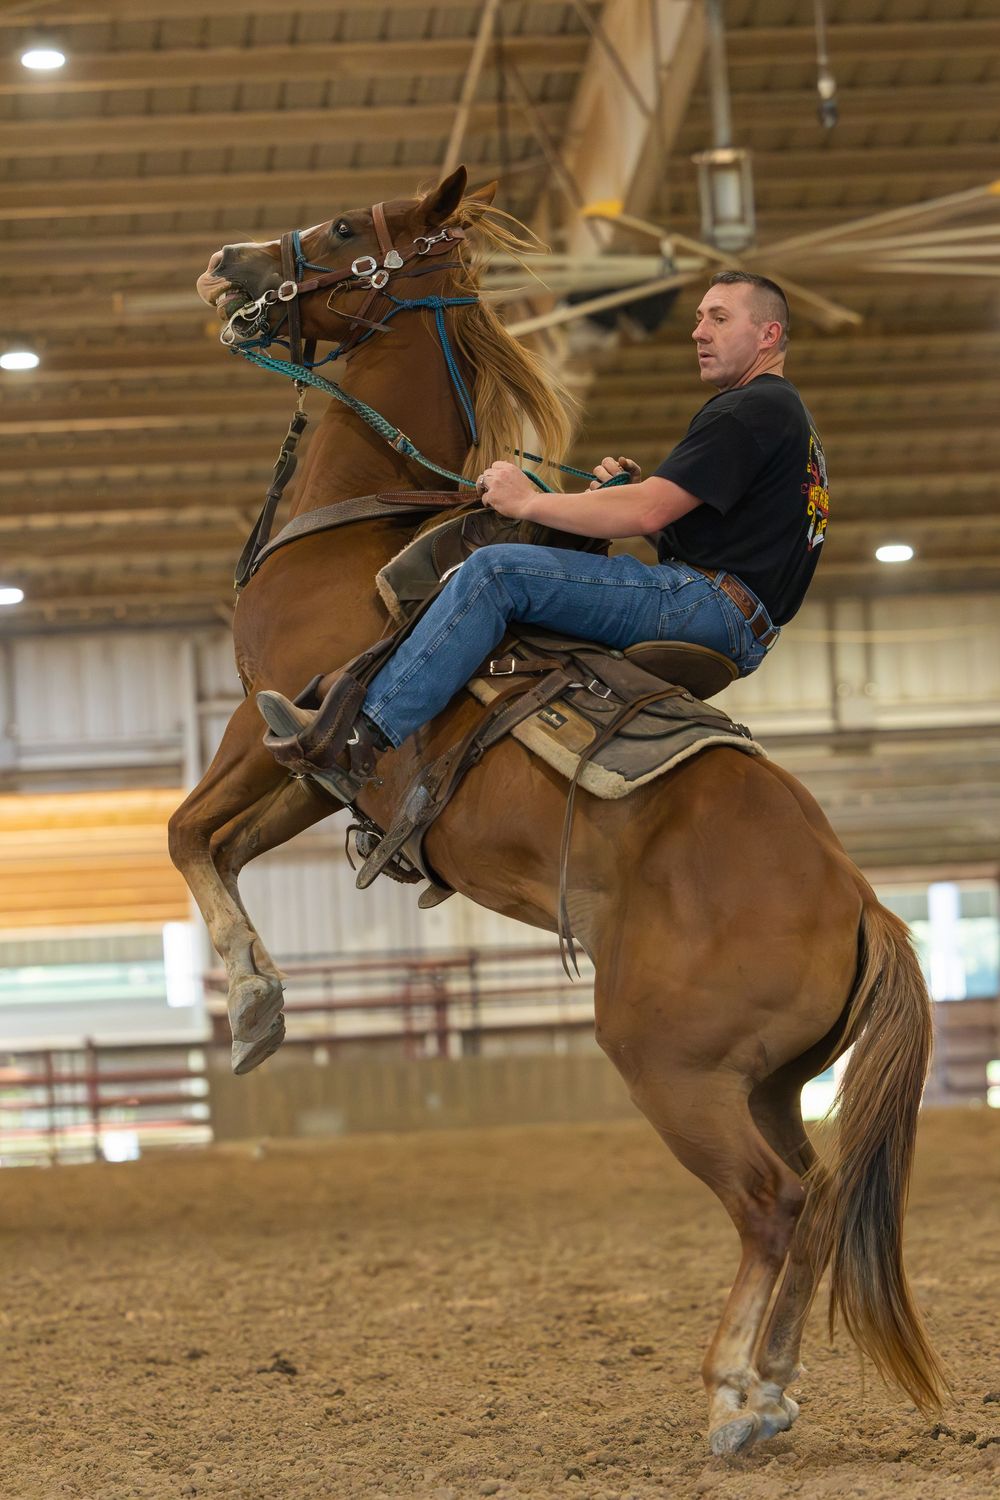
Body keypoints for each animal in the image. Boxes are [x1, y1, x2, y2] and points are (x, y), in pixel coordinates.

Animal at [170, 165, 946, 1454]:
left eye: (346, 229)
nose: (227, 265)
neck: (361, 533)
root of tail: (862, 907)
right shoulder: (308, 772)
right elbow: (219, 844)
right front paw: (257, 1005)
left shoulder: (270, 723)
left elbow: (186, 830)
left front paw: (249, 998)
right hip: (766, 1079)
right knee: (820, 1191)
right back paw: (773, 1383)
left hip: (672, 1068)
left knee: (773, 1200)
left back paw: (736, 1393)